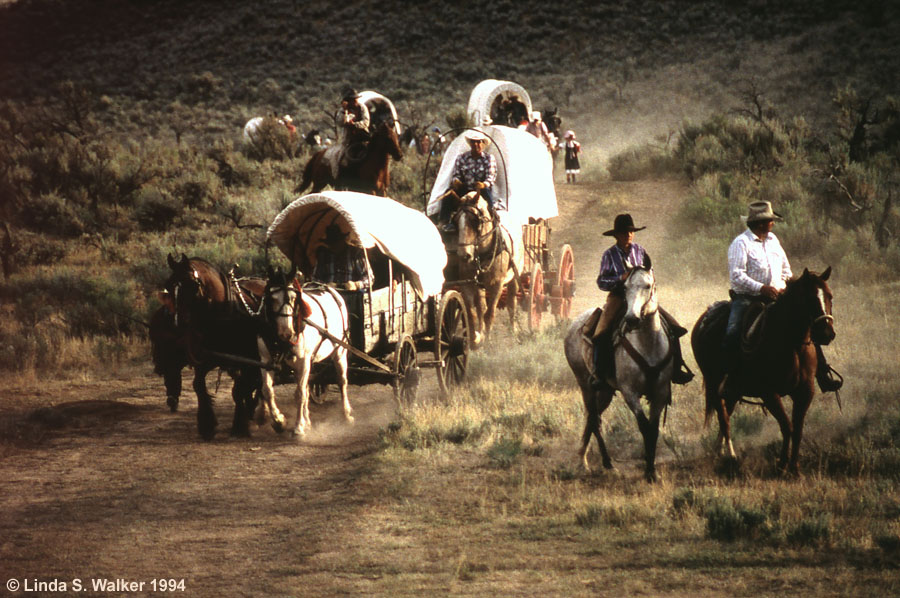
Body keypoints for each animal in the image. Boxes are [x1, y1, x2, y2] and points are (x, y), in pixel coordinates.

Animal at [164, 253, 266, 440]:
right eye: (168, 285)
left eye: (193, 284)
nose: (178, 323)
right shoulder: (206, 358)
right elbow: (198, 385)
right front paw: (207, 425)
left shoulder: (243, 360)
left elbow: (238, 390)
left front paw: (239, 426)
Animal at [256, 270, 352, 436]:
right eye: (272, 298)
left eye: (294, 298)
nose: (287, 333)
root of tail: (331, 290)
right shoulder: (266, 361)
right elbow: (267, 390)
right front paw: (279, 421)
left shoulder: (303, 362)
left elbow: (300, 394)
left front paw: (299, 427)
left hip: (339, 352)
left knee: (342, 381)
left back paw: (346, 414)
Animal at [568, 268, 672, 482]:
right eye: (624, 287)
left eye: (648, 285)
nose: (632, 318)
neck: (648, 344)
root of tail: (572, 326)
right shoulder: (629, 392)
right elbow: (644, 427)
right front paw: (648, 471)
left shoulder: (660, 392)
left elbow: (654, 429)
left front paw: (652, 471)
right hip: (585, 385)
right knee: (593, 419)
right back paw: (598, 462)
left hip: (605, 391)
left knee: (594, 418)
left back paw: (595, 461)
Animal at [696, 270, 836, 476]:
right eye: (810, 298)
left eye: (829, 296)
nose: (827, 334)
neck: (792, 345)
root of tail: (703, 321)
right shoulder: (769, 393)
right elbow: (787, 426)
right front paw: (782, 465)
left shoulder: (805, 391)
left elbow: (798, 429)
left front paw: (794, 467)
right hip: (714, 383)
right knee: (723, 417)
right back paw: (730, 456)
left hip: (732, 391)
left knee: (727, 413)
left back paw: (719, 451)